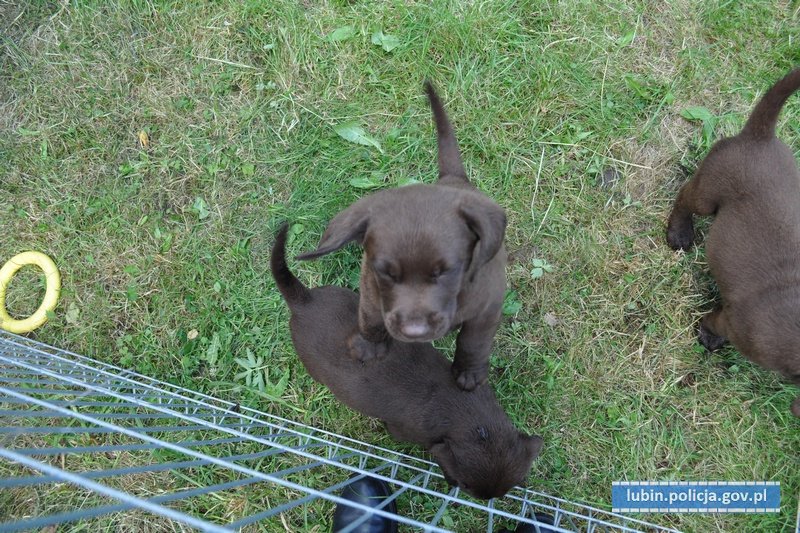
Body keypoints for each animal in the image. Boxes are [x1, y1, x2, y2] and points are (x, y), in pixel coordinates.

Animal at [294, 82, 506, 390]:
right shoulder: (370, 288)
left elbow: (473, 342)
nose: (414, 332)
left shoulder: (487, 308)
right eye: (386, 273)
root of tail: (453, 179)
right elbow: (370, 318)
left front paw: (469, 372)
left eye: (446, 272)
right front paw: (369, 346)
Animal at [664, 66, 800, 416]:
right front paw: (708, 338)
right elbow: (715, 322)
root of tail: (760, 137)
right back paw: (680, 233)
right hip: (709, 191)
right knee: (685, 196)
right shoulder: (737, 324)